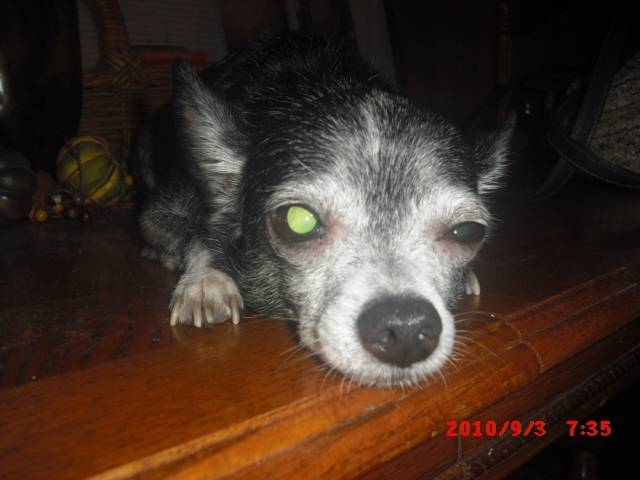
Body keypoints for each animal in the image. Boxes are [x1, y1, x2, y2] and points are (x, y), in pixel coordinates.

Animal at [136, 34, 512, 387]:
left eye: (468, 232)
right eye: (298, 222)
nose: (405, 328)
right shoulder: (158, 214)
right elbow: (200, 232)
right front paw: (205, 280)